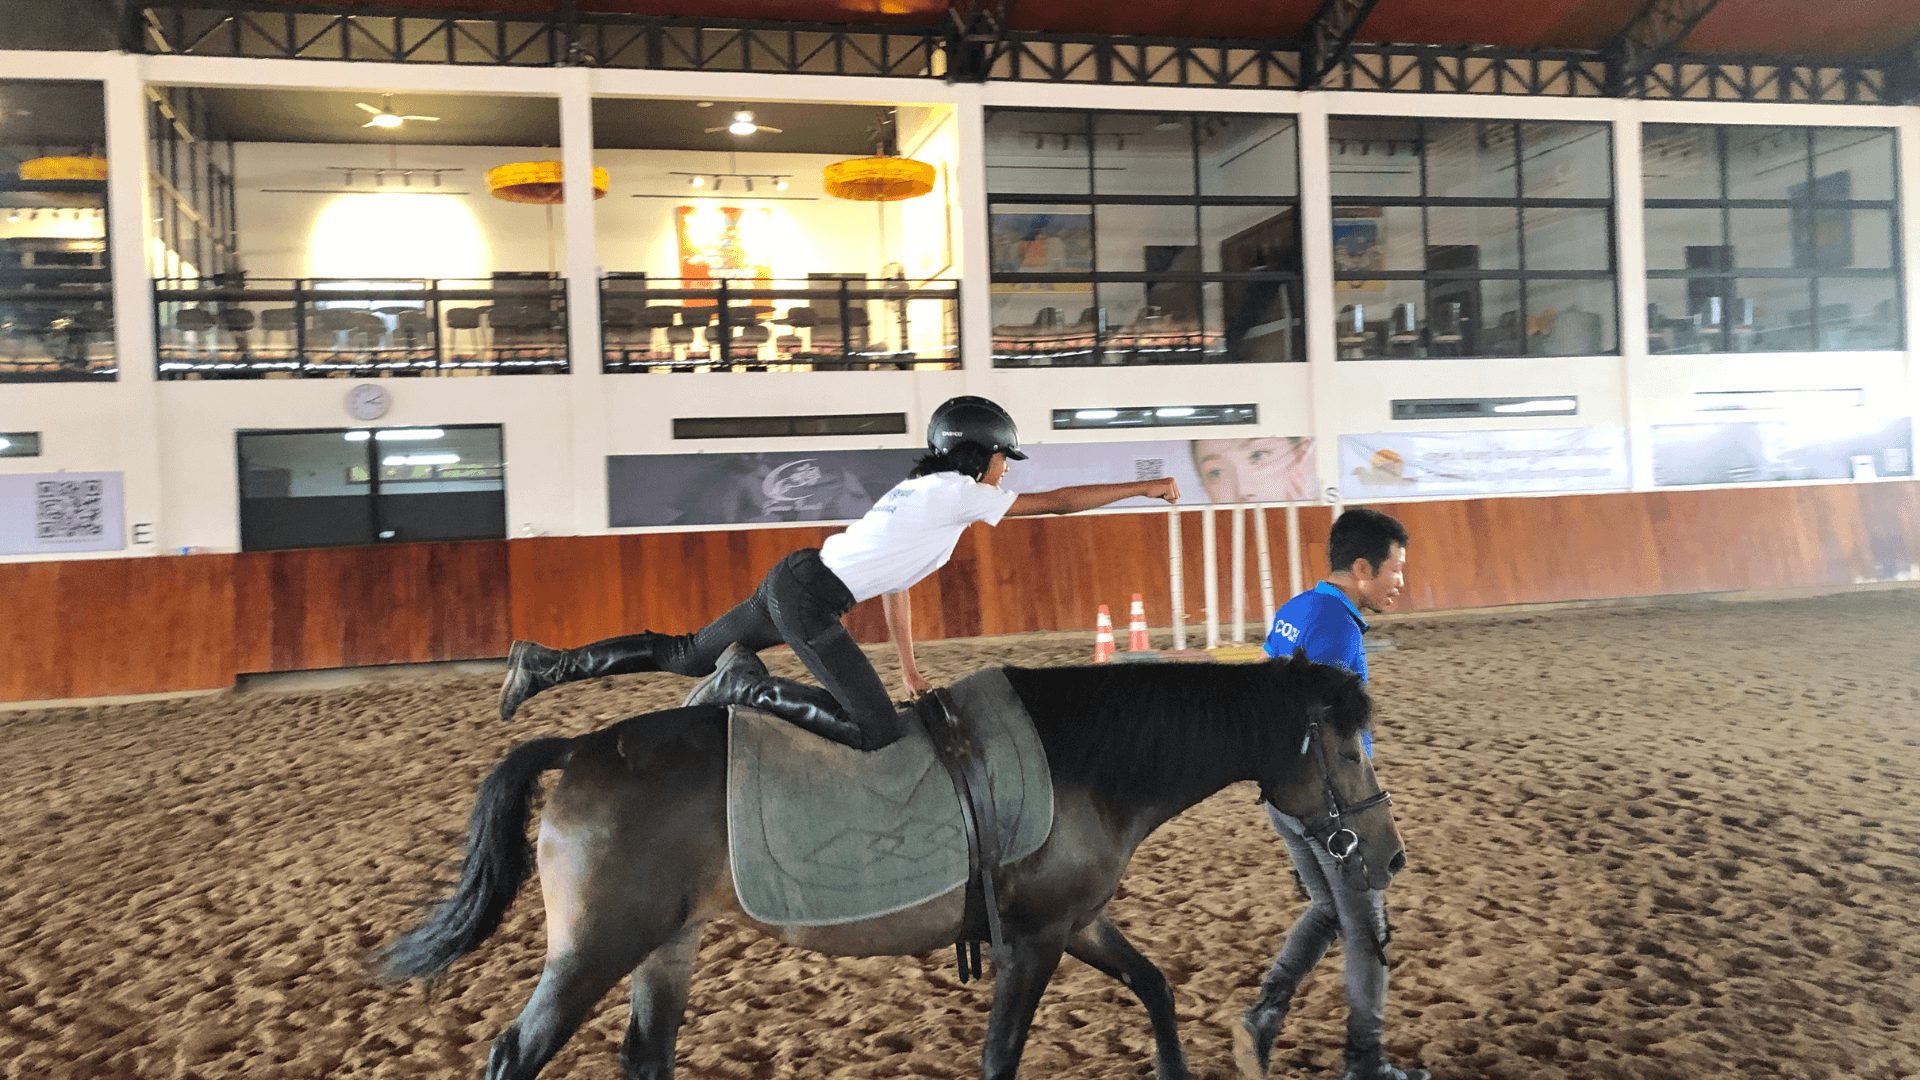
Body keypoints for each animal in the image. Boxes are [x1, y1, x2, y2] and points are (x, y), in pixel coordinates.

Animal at [382, 645, 1405, 1076]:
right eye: (1348, 750)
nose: (1388, 856)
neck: (1088, 760)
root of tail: (585, 748)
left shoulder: (1075, 921)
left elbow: (1154, 988)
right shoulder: (1034, 941)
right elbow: (1000, 1055)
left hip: (661, 948)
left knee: (646, 1057)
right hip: (591, 951)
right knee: (515, 1054)